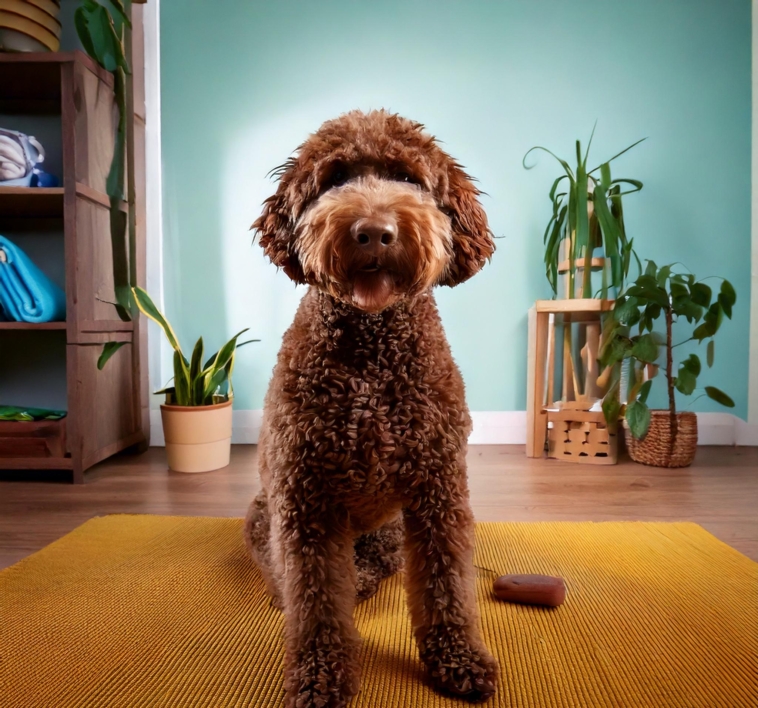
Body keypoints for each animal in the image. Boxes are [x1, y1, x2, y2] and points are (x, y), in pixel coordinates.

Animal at [246, 109, 502, 708]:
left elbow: (445, 581)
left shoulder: (438, 490)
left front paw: (457, 658)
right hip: (265, 517)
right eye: (335, 178)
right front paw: (320, 676)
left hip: (390, 528)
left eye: (407, 177)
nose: (373, 232)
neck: (371, 353)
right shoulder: (306, 502)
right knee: (287, 576)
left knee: (383, 563)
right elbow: (315, 600)